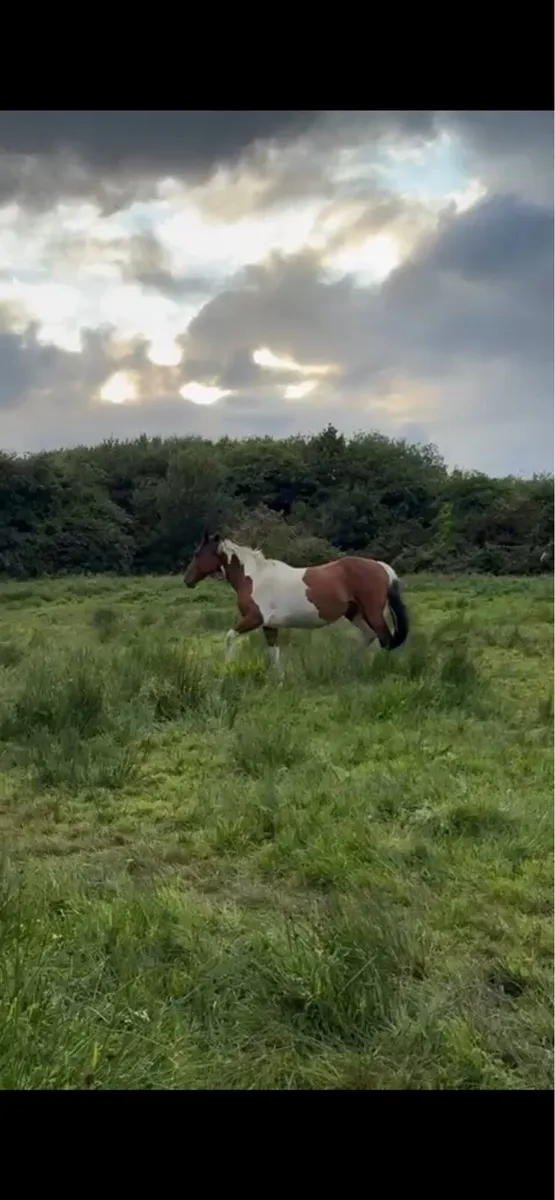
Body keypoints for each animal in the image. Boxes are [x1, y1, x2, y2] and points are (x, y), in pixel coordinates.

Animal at [183, 532, 409, 674]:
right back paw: (350, 665)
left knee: (384, 638)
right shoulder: (269, 625)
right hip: (354, 613)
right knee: (370, 636)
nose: (187, 580)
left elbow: (230, 637)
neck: (254, 577)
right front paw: (279, 679)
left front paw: (228, 667)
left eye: (197, 553)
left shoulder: (254, 618)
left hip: (372, 612)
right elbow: (273, 652)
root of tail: (381, 567)